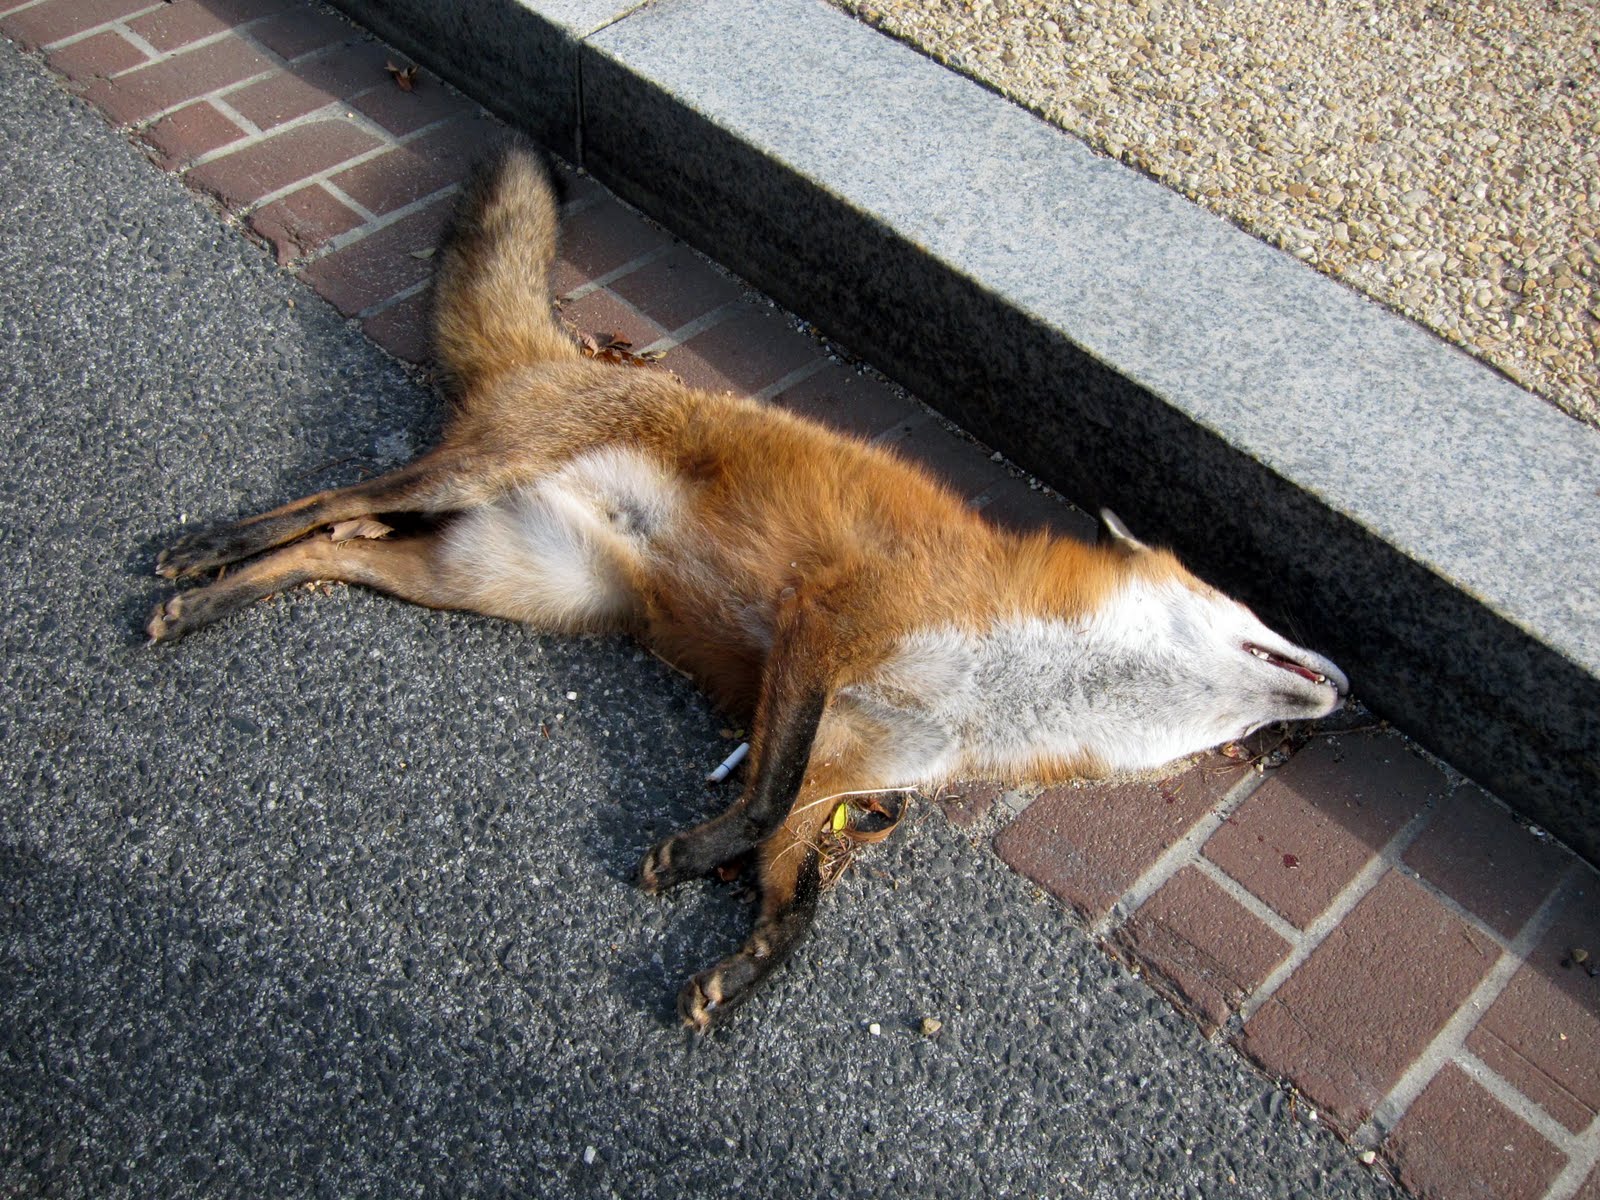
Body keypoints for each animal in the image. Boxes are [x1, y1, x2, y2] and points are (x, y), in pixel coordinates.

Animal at [147, 141, 1348, 1030]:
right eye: (1259, 615)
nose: (1342, 685)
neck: (1006, 686)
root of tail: (572, 356)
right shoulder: (826, 621)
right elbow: (759, 799)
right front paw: (693, 857)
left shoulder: (850, 767)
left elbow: (798, 884)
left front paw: (748, 964)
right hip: (471, 481)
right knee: (321, 502)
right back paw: (203, 557)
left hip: (488, 578)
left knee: (335, 546)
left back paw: (218, 599)